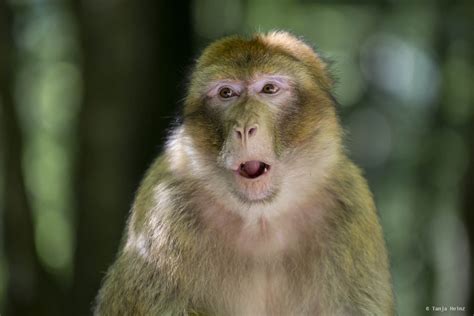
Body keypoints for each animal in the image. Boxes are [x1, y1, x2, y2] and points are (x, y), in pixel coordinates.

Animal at [93, 30, 396, 316]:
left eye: (269, 88)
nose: (244, 127)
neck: (261, 216)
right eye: (227, 93)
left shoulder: (351, 205)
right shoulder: (163, 201)